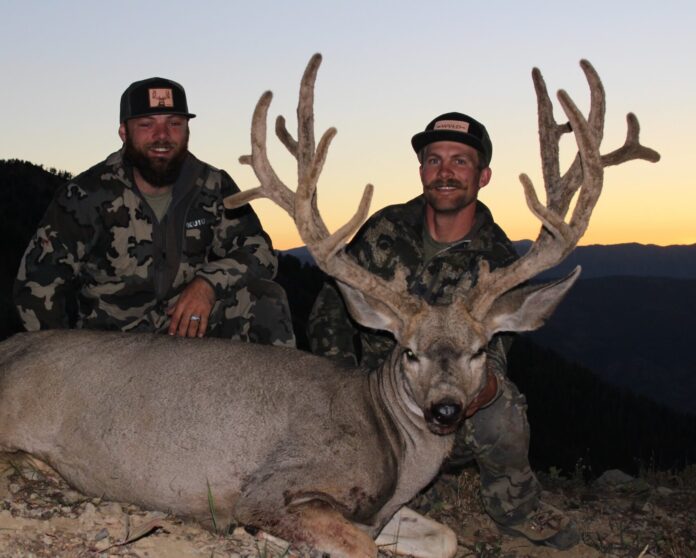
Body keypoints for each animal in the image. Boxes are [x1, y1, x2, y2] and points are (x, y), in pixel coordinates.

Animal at [0, 53, 656, 558]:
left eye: (478, 351)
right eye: (409, 352)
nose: (445, 410)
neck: (388, 442)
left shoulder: (386, 510)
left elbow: (444, 537)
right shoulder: (272, 485)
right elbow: (354, 543)